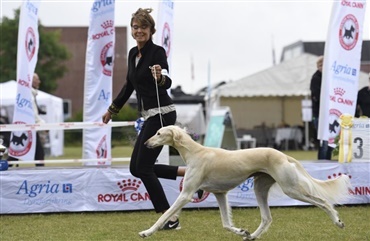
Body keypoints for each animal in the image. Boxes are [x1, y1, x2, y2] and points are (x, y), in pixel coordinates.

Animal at [138, 126, 350, 239]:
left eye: (159, 133)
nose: (146, 143)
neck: (195, 153)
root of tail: (283, 155)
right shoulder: (220, 194)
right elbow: (226, 224)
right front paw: (241, 231)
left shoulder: (186, 194)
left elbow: (164, 215)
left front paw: (147, 232)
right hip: (260, 188)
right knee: (267, 218)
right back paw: (253, 236)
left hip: (291, 189)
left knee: (323, 202)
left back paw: (338, 221)